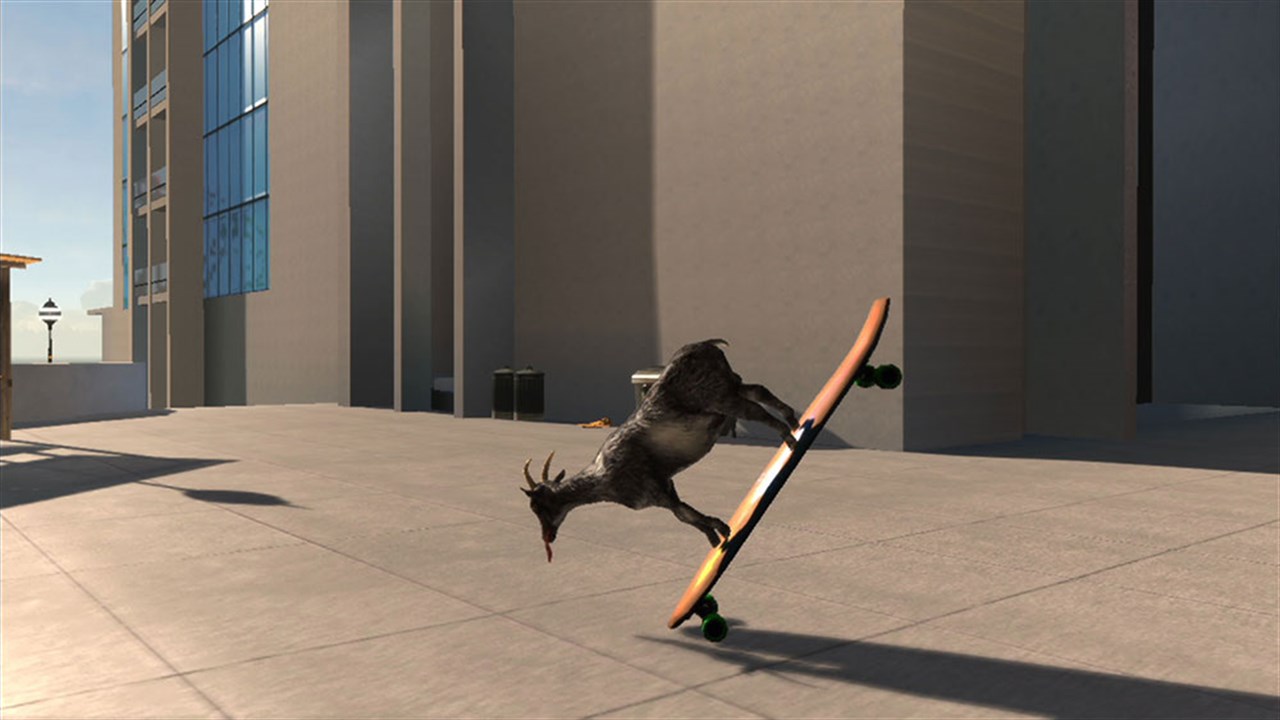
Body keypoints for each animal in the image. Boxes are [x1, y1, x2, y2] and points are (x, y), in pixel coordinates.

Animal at [522, 339, 798, 562]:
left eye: (538, 506)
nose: (548, 536)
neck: (602, 477)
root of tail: (708, 344)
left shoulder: (653, 489)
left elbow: (685, 513)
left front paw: (722, 531)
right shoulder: (665, 486)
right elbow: (684, 514)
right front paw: (716, 537)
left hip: (719, 395)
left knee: (753, 409)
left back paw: (790, 437)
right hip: (729, 385)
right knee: (757, 390)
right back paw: (793, 420)